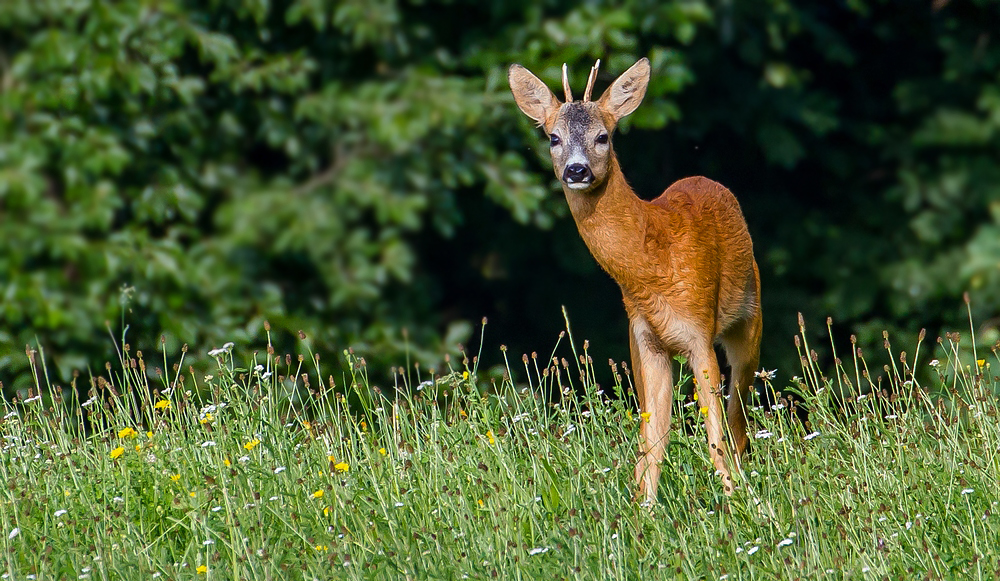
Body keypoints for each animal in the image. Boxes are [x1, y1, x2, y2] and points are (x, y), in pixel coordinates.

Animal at [512, 59, 760, 500]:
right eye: (554, 137)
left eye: (603, 136)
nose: (577, 170)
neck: (652, 263)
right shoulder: (647, 340)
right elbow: (652, 442)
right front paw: (643, 510)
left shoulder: (698, 330)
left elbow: (713, 434)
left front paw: (739, 503)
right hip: (635, 342)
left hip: (750, 321)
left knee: (738, 419)